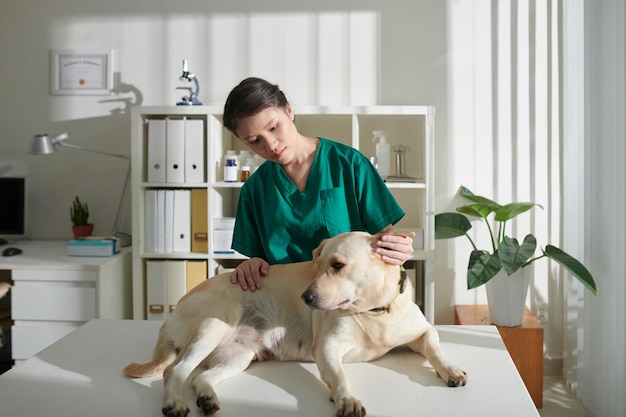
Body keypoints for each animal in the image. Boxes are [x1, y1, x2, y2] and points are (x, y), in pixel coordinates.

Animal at [123, 229, 464, 414]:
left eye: (337, 265)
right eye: (316, 265)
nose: (306, 298)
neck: (376, 311)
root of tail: (168, 318)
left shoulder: (423, 333)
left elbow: (436, 348)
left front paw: (451, 370)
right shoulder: (327, 347)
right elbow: (340, 376)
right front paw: (347, 399)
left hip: (238, 355)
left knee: (199, 378)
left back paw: (206, 398)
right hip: (216, 323)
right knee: (175, 370)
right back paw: (174, 403)